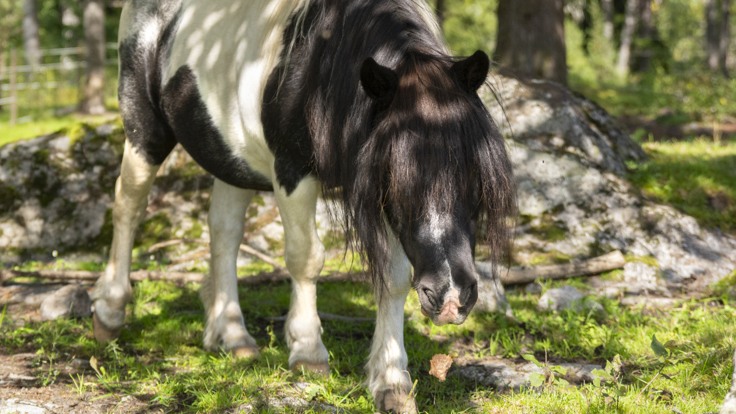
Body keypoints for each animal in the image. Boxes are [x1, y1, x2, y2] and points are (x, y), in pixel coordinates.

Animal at [92, 0, 516, 410]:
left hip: (230, 157)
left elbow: (393, 279)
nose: (450, 297)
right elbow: (306, 258)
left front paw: (392, 381)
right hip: (145, 131)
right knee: (129, 204)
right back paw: (110, 311)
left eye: (474, 174)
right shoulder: (294, 173)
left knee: (224, 232)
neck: (323, 65)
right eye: (399, 179)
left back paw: (231, 333)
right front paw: (308, 351)